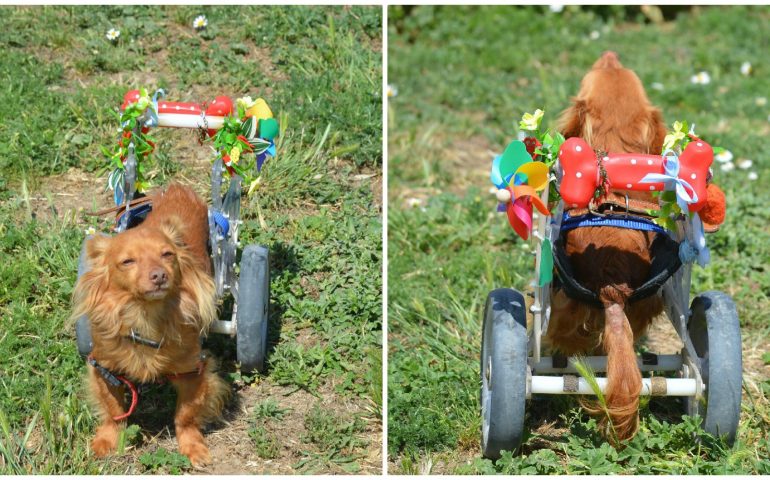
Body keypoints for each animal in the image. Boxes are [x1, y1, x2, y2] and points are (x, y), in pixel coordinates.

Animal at [71, 184, 228, 464]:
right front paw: (107, 439)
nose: (159, 275)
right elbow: (113, 410)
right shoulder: (104, 369)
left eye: (167, 255)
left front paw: (192, 446)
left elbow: (185, 415)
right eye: (127, 261)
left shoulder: (194, 371)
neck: (145, 316)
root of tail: (177, 188)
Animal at [544, 52, 664, 442]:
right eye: (613, 70)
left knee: (566, 342)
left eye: (590, 76)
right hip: (648, 304)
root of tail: (613, 288)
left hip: (563, 302)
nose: (609, 55)